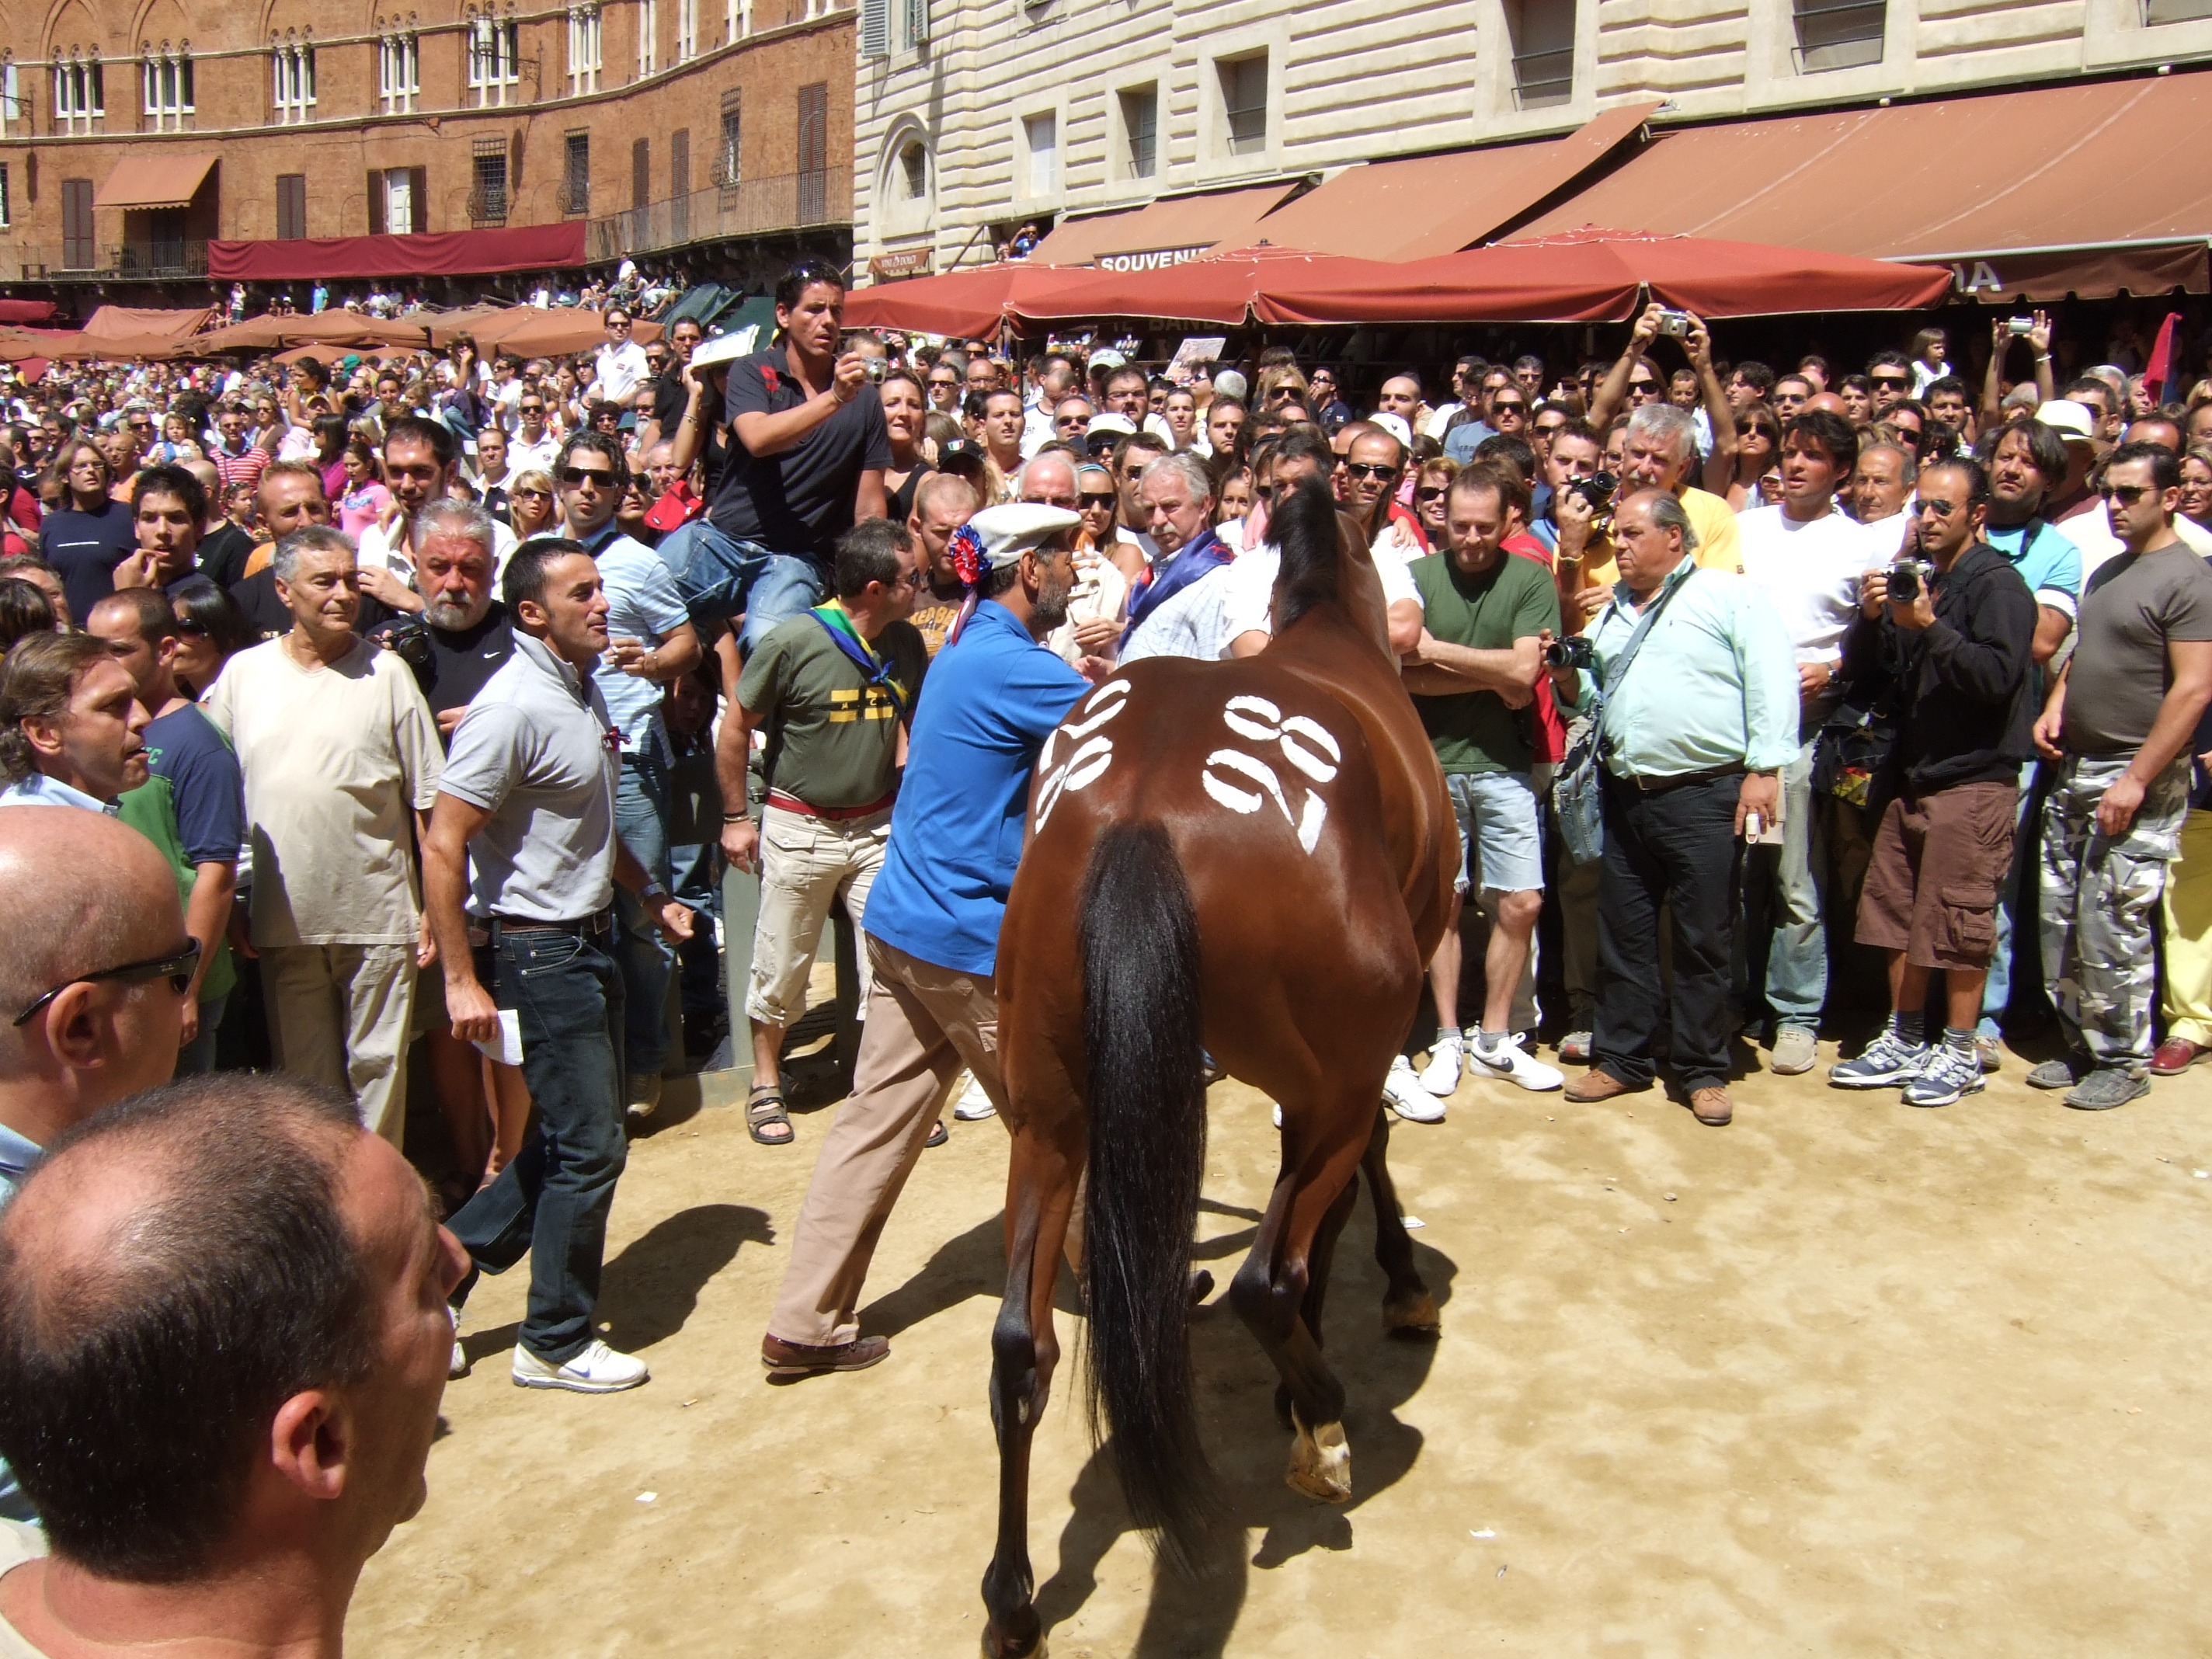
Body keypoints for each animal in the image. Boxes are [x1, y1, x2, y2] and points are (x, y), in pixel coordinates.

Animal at [981, 477, 1458, 1657]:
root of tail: (1146, 805)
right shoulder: (1351, 1064)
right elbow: (1361, 1168)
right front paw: (1396, 1283)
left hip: (1049, 1107)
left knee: (1018, 1345)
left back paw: (1012, 1600)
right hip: (1330, 1071)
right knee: (1262, 1281)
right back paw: (1323, 1425)